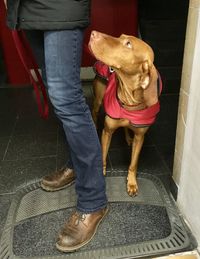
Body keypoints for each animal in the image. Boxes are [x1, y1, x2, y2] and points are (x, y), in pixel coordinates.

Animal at [88, 31, 162, 197]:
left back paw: (128, 137)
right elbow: (102, 154)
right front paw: (101, 172)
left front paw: (132, 182)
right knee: (94, 112)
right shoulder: (107, 131)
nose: (94, 33)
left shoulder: (140, 137)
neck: (130, 102)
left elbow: (133, 163)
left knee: (126, 127)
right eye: (120, 36)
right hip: (98, 100)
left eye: (128, 44)